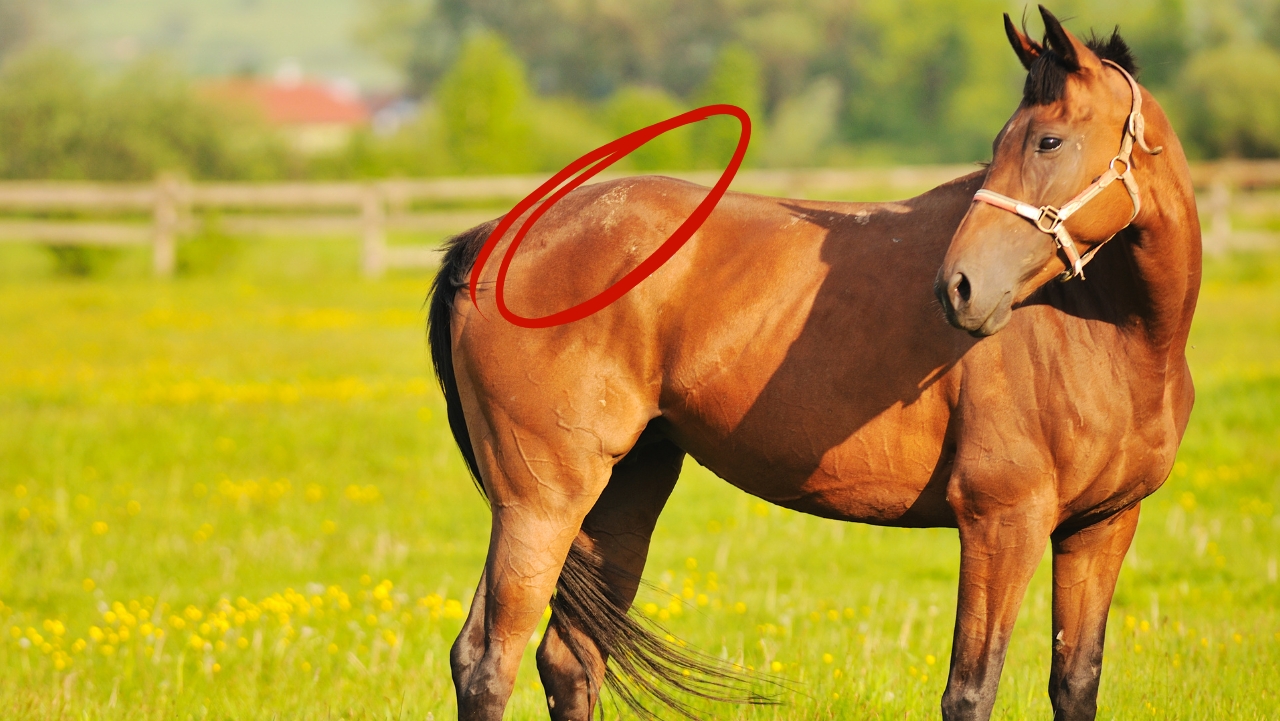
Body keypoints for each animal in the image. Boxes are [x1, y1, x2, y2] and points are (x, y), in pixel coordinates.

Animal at [427, 6, 1200, 720]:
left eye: (1048, 139)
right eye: (1002, 144)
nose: (959, 287)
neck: (1108, 331)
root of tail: (495, 237)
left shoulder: (1101, 527)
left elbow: (1075, 683)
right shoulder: (1002, 522)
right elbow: (971, 690)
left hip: (620, 492)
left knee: (569, 660)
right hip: (540, 501)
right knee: (487, 659)